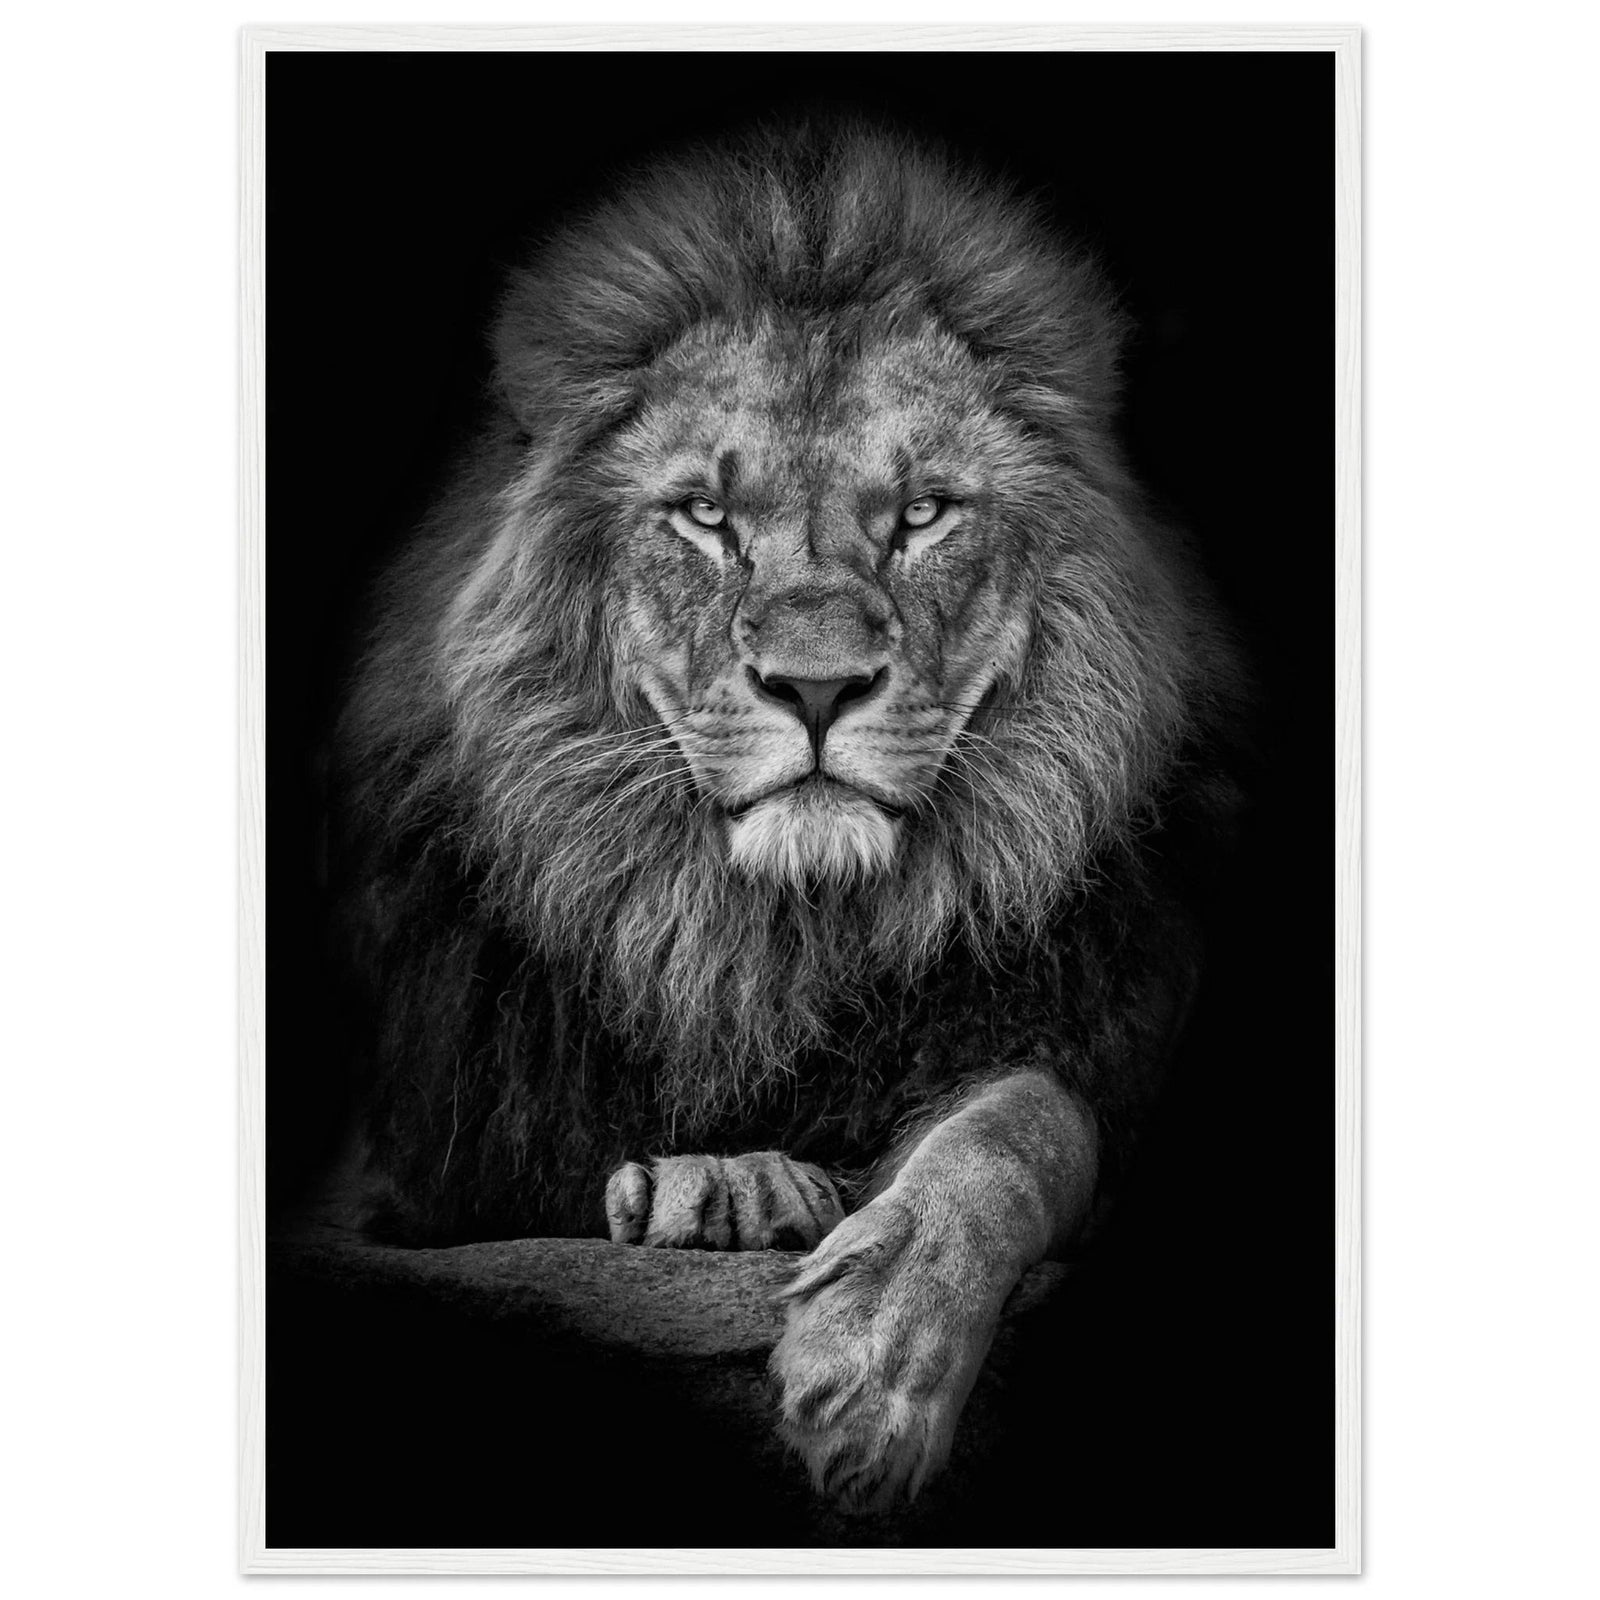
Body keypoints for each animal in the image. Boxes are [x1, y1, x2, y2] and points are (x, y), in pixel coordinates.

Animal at [328, 122, 1247, 1513]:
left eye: (920, 512)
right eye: (707, 516)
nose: (815, 687)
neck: (771, 940)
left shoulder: (1093, 1033)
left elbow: (1017, 1127)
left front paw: (874, 1363)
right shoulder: (421, 1158)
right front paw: (724, 1182)